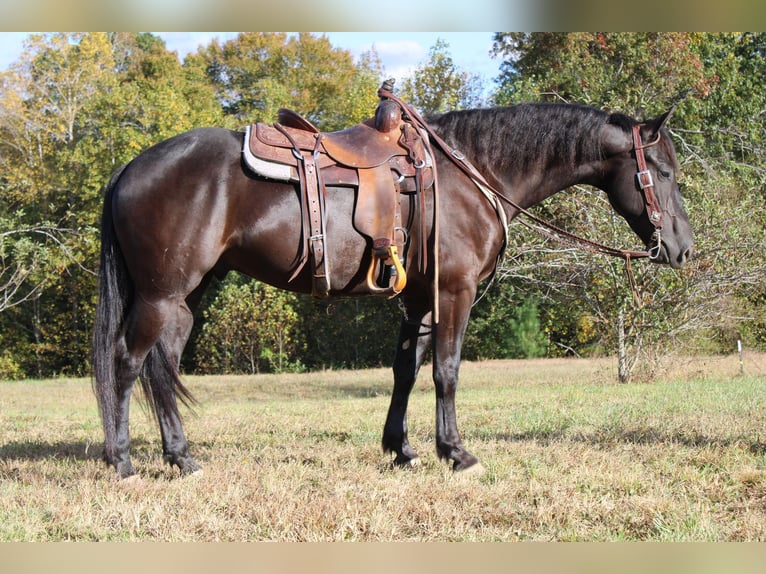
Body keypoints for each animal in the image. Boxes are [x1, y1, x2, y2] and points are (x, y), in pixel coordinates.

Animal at [91, 101, 696, 480]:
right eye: (663, 172)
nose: (684, 248)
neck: (471, 175)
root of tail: (130, 167)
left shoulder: (419, 299)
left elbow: (407, 370)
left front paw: (402, 449)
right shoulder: (454, 291)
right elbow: (446, 371)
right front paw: (456, 452)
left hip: (185, 298)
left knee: (162, 368)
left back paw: (181, 457)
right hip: (161, 295)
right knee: (126, 362)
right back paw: (122, 462)